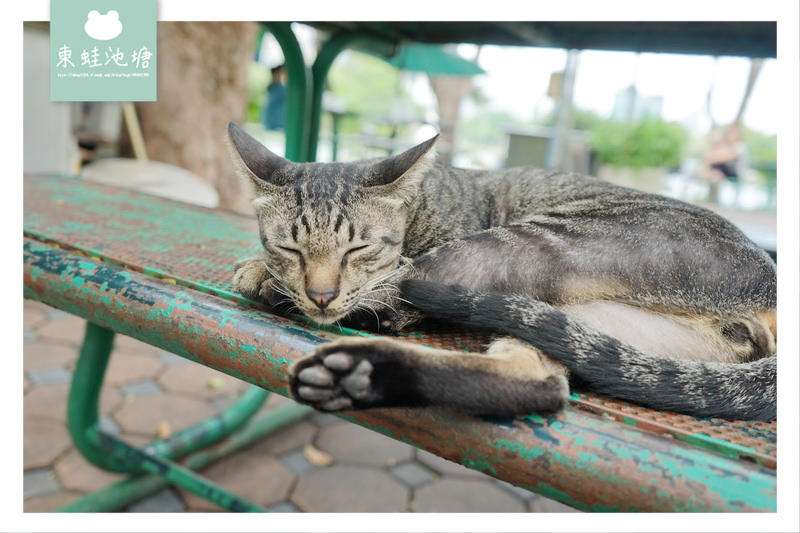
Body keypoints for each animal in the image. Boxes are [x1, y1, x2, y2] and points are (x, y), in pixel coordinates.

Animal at [223, 122, 776, 422]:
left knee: (404, 300)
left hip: (518, 246)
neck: (425, 204)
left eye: (358, 247)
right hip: (576, 322)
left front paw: (262, 276)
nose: (319, 293)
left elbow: (379, 290)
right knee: (544, 386)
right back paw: (356, 377)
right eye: (290, 247)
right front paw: (265, 270)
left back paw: (356, 360)